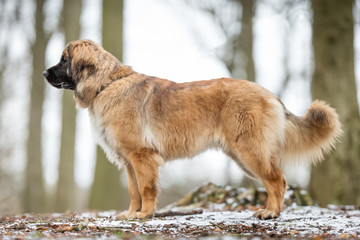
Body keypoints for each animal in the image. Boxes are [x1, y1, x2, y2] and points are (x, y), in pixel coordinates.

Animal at [43, 39, 342, 219]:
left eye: (64, 60)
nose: (44, 73)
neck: (107, 84)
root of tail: (269, 94)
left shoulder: (142, 156)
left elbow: (146, 188)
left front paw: (145, 215)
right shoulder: (128, 161)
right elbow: (133, 190)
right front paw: (131, 214)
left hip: (249, 151)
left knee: (277, 180)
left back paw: (270, 213)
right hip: (243, 155)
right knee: (277, 181)